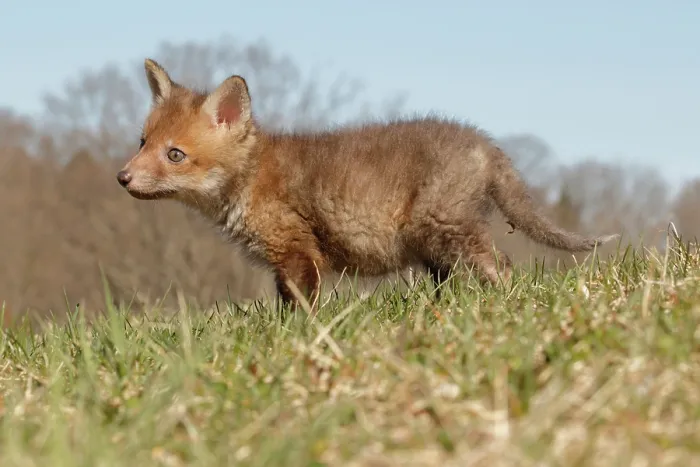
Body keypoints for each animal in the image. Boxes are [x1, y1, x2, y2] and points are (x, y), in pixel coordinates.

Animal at [116, 58, 618, 310]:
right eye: (142, 142)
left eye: (174, 155)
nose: (122, 178)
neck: (251, 179)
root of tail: (485, 143)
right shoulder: (284, 263)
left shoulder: (298, 252)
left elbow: (300, 309)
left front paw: (298, 339)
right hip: (437, 247)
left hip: (445, 230)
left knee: (504, 268)